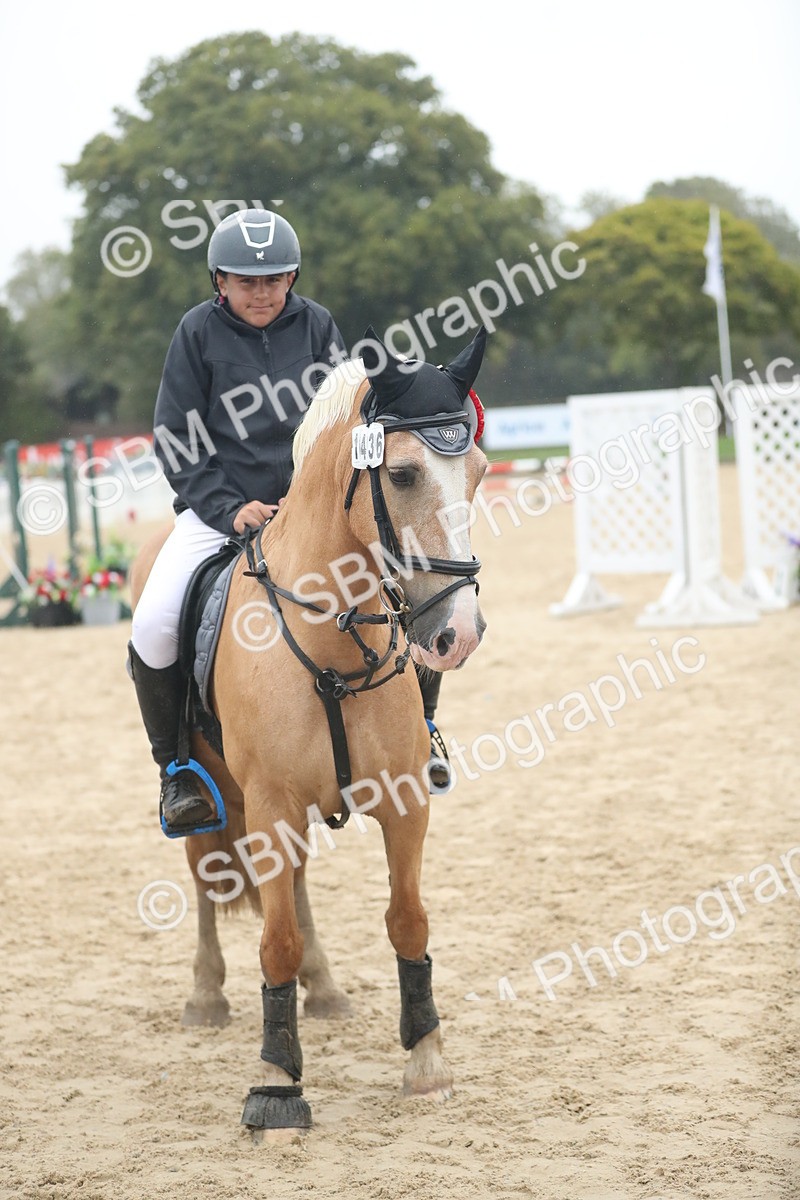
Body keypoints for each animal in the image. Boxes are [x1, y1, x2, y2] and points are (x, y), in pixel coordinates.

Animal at [129, 327, 488, 1137]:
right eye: (405, 474)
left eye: (480, 472)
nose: (459, 634)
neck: (332, 642)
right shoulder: (268, 803)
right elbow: (275, 940)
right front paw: (275, 1084)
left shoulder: (403, 802)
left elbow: (407, 921)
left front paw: (426, 1062)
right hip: (218, 797)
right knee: (205, 873)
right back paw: (206, 995)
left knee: (292, 887)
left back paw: (321, 988)